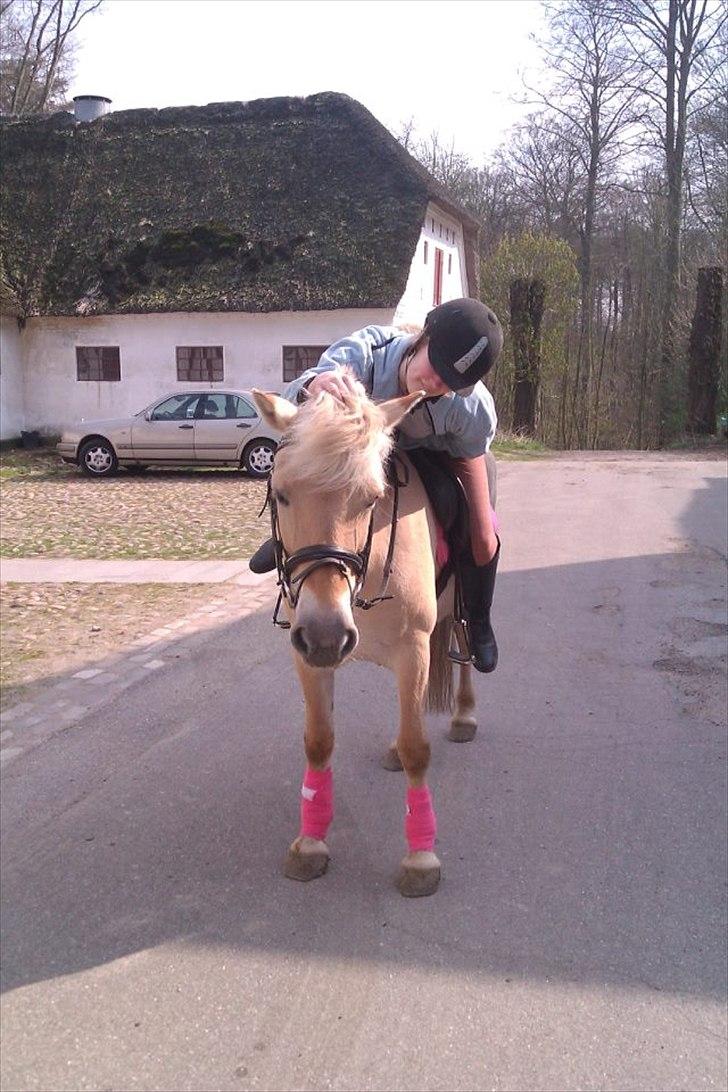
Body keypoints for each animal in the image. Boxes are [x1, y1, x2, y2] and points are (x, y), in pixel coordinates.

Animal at [253, 380, 480, 899]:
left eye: (372, 498)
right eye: (281, 494)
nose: (326, 634)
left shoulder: (414, 649)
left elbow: (419, 748)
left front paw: (420, 858)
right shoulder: (307, 657)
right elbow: (318, 742)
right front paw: (310, 844)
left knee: (462, 653)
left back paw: (464, 714)